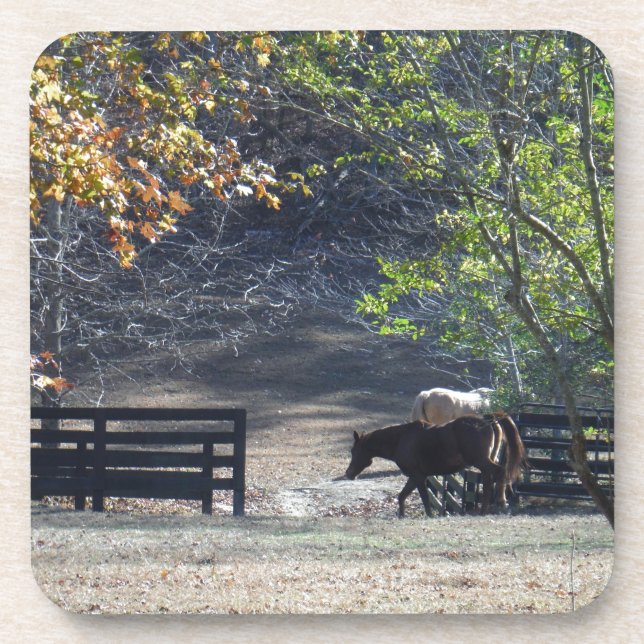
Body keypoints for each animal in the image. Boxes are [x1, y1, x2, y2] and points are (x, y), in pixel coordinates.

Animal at [345, 414, 526, 518]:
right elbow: (402, 496)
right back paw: (485, 509)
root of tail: (488, 422)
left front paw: (430, 516)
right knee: (489, 480)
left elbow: (425, 498)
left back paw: (501, 503)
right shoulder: (415, 476)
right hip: (485, 462)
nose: (348, 474)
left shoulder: (418, 476)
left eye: (354, 451)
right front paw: (401, 515)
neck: (401, 439)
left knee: (500, 473)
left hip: (481, 461)